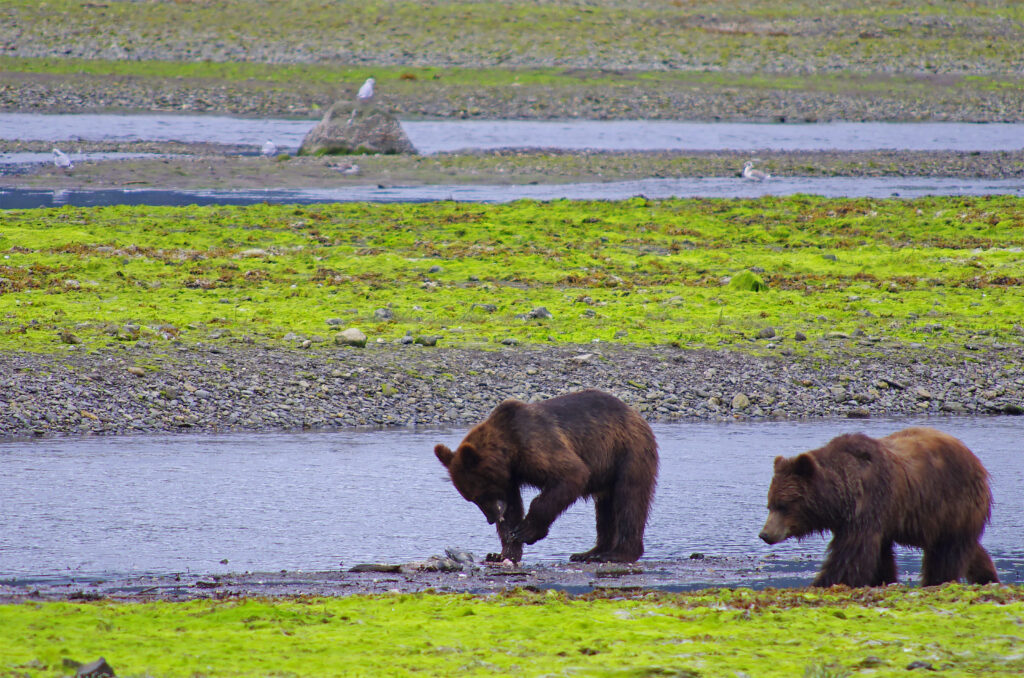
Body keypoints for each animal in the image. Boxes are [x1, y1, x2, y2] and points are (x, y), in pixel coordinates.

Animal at [434, 389, 659, 563]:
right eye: (471, 499)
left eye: (480, 494)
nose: (491, 518)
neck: (510, 452)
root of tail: (636, 414)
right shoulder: (511, 477)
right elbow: (512, 508)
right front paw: (503, 552)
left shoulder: (536, 445)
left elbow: (571, 474)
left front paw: (526, 531)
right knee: (605, 510)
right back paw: (590, 552)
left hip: (627, 452)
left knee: (629, 499)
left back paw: (618, 553)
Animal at [759, 426, 999, 588]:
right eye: (769, 505)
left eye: (784, 505)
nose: (765, 534)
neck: (840, 498)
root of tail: (976, 461)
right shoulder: (870, 519)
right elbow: (879, 557)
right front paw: (882, 579)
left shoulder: (870, 504)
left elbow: (851, 554)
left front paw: (824, 582)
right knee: (968, 548)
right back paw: (987, 576)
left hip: (953, 503)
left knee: (947, 551)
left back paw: (938, 580)